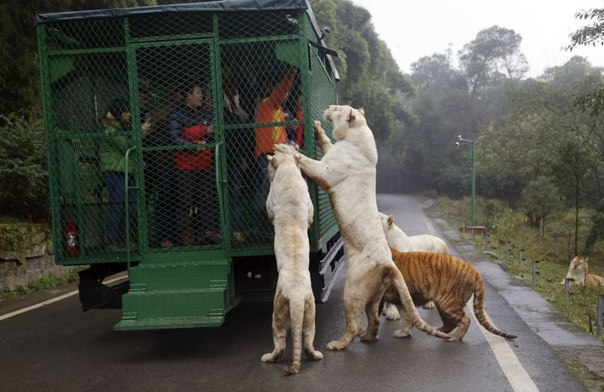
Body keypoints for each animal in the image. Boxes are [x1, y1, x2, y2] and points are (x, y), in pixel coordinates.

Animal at [262, 151, 324, 376]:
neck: (288, 168)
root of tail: (296, 296)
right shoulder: (308, 207)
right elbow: (310, 216)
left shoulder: (270, 203)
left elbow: (269, 212)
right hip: (310, 313)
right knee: (307, 340)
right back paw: (316, 356)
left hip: (277, 314)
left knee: (280, 343)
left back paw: (268, 358)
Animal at [276, 104, 450, 350]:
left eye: (338, 108)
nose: (329, 107)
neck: (353, 134)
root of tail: (388, 262)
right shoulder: (331, 154)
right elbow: (326, 143)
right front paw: (318, 130)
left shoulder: (326, 171)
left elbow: (306, 160)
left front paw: (286, 150)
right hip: (375, 294)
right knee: (374, 320)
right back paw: (368, 337)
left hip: (352, 289)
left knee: (355, 324)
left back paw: (337, 344)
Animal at [384, 250, 516, 342]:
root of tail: (474, 270)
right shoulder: (401, 299)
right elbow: (406, 316)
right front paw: (405, 332)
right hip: (443, 305)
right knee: (449, 324)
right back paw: (437, 331)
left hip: (448, 303)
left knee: (465, 320)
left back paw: (453, 337)